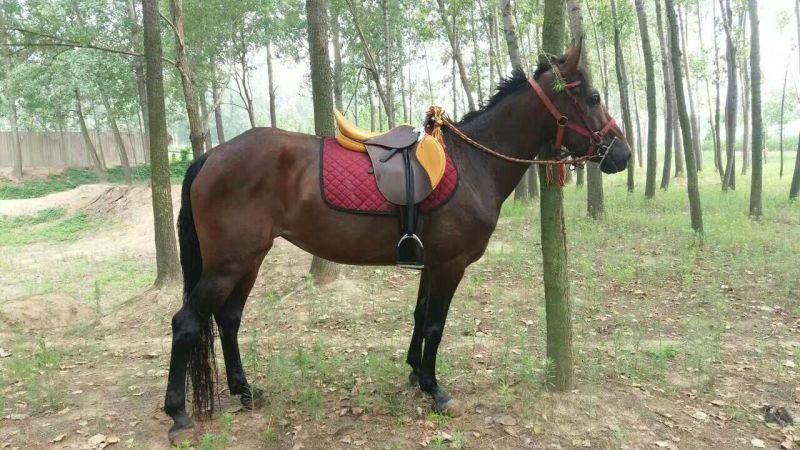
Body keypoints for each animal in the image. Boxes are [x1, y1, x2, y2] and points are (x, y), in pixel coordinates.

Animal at [163, 42, 630, 442]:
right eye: (592, 97)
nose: (623, 154)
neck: (473, 164)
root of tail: (211, 155)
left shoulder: (431, 263)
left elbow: (420, 316)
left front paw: (413, 374)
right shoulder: (450, 264)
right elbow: (436, 324)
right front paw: (435, 389)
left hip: (248, 260)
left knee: (228, 319)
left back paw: (245, 391)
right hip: (228, 264)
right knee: (186, 322)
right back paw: (178, 413)